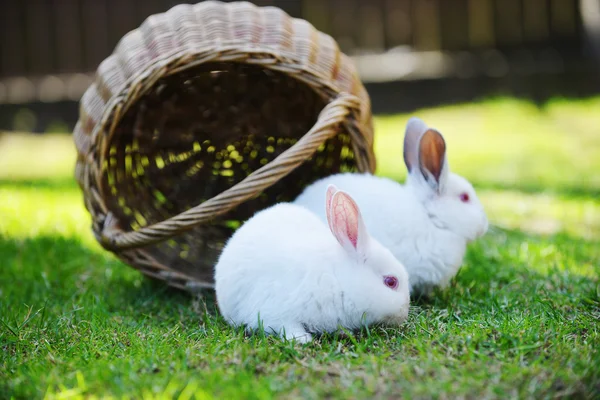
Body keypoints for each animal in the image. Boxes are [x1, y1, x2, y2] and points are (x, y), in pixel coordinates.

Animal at [213, 185, 410, 344]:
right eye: (391, 282)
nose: (404, 314)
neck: (336, 279)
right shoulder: (275, 313)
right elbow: (287, 326)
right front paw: (302, 340)